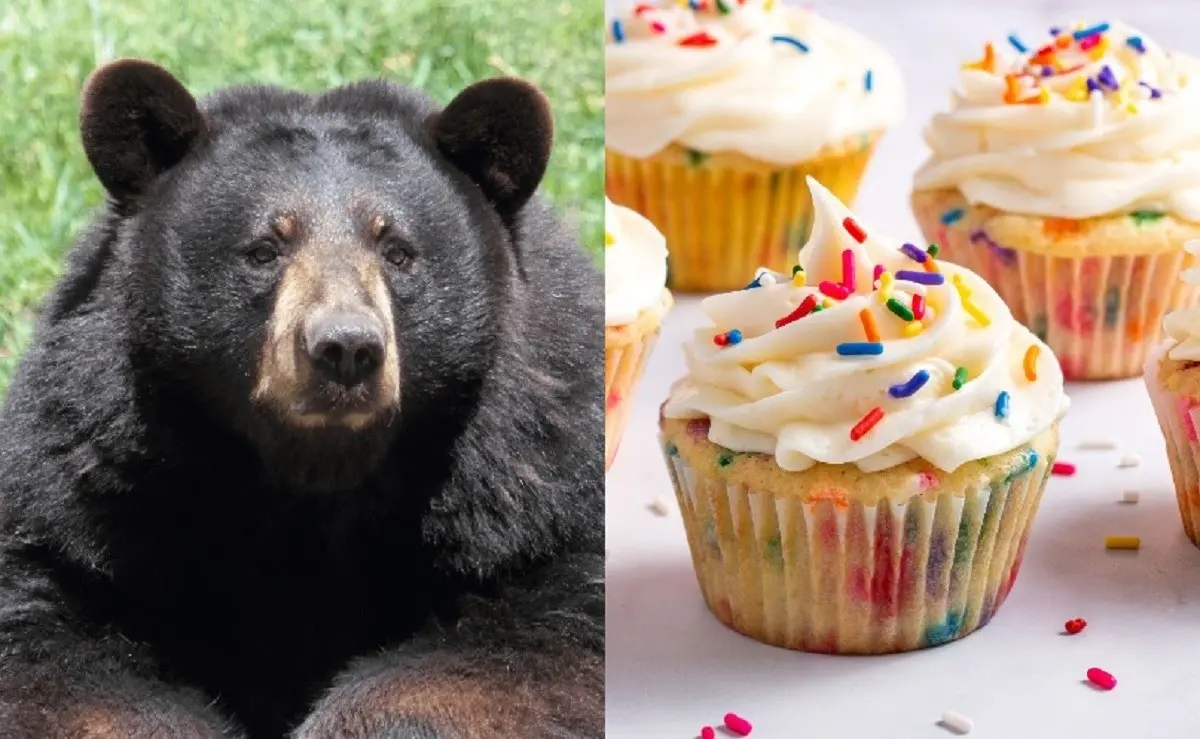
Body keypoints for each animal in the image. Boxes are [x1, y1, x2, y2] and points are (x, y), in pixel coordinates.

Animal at [0, 59, 604, 739]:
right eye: (265, 248)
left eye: (397, 250)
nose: (346, 347)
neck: (314, 479)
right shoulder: (94, 488)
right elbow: (51, 642)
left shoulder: (530, 493)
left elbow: (531, 643)